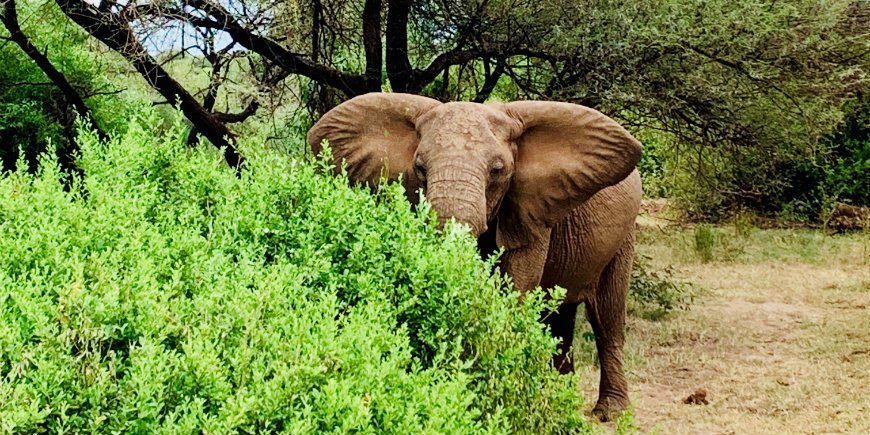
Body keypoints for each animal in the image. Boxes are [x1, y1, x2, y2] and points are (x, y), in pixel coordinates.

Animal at [307, 92, 642, 419]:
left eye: (497, 171)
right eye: (420, 168)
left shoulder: (530, 210)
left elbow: (516, 287)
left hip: (624, 237)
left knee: (606, 317)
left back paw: (610, 412)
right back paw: (562, 395)